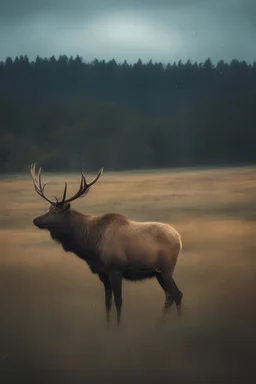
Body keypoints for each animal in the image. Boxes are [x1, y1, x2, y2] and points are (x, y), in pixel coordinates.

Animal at [30, 164, 183, 326]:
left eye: (54, 211)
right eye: (47, 209)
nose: (36, 220)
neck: (91, 248)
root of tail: (179, 238)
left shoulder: (116, 268)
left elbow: (118, 301)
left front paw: (118, 326)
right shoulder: (102, 272)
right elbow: (107, 302)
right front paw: (108, 326)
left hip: (167, 268)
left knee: (174, 294)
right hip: (157, 272)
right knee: (173, 294)